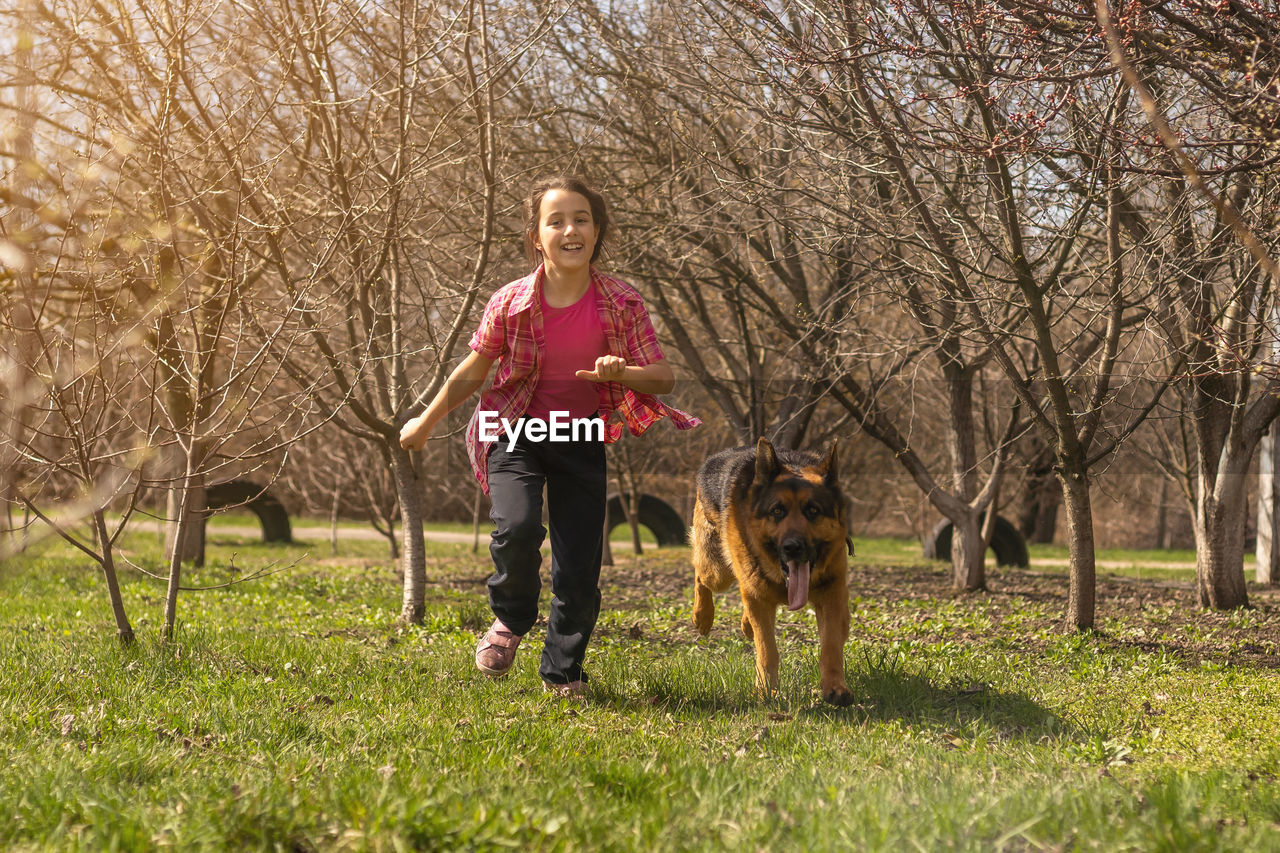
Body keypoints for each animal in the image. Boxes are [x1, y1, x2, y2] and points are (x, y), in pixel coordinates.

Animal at [691, 438, 849, 701]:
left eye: (813, 510)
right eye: (777, 511)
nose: (792, 547)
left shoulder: (831, 596)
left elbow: (831, 646)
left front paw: (835, 687)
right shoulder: (759, 598)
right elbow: (767, 650)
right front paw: (765, 691)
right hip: (718, 571)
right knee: (700, 575)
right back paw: (702, 614)